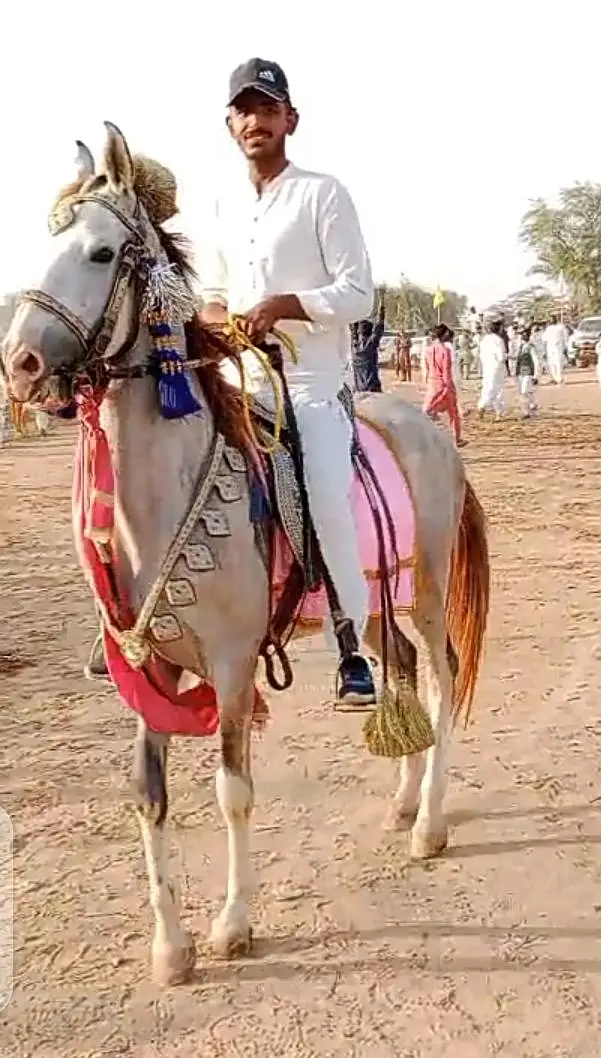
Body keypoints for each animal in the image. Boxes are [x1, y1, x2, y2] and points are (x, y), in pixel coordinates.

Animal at [1, 123, 490, 985]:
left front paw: (232, 924)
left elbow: (233, 790)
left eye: (100, 252)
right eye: (47, 240)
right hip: (368, 597)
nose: (19, 364)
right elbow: (149, 793)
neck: (163, 500)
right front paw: (170, 947)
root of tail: (425, 427)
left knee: (438, 672)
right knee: (394, 663)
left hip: (429, 591)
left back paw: (428, 824)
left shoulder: (230, 668)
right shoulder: (151, 672)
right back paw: (402, 798)